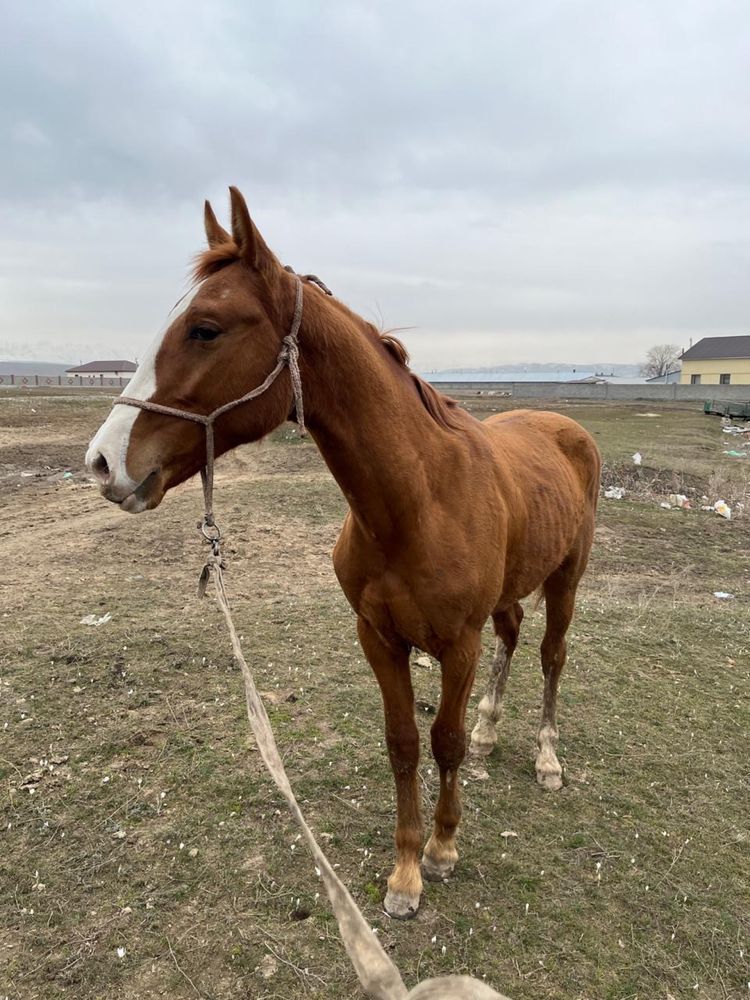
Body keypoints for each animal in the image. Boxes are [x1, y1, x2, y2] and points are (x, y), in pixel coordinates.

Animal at [88, 184, 604, 916]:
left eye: (205, 329)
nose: (103, 462)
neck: (418, 501)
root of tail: (564, 427)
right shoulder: (377, 637)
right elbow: (404, 743)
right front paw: (405, 871)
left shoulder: (459, 644)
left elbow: (442, 742)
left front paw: (442, 850)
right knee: (513, 634)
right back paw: (491, 728)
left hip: (567, 577)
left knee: (552, 655)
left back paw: (546, 758)